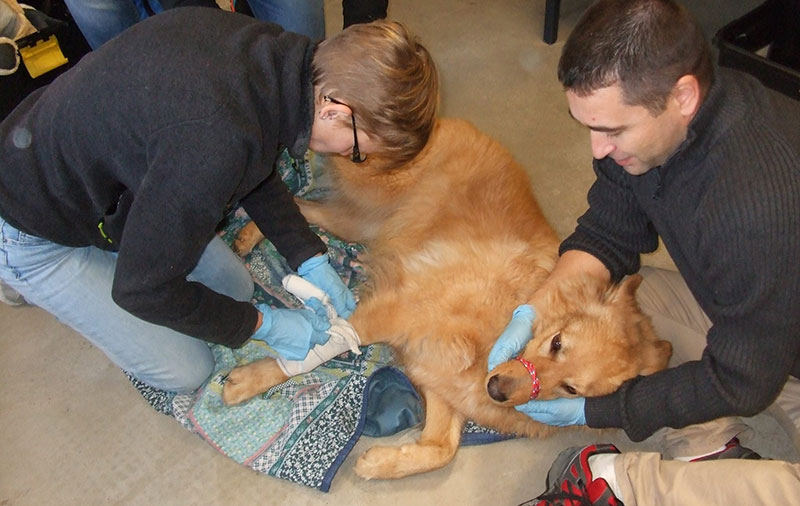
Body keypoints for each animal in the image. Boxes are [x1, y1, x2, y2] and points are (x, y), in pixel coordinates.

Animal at [222, 116, 672, 480]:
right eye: (557, 342)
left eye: (572, 390)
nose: (497, 390)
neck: (501, 320)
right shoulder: (398, 309)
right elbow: (322, 348)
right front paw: (252, 379)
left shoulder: (439, 380)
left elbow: (442, 449)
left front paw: (382, 463)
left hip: (360, 224)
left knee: (301, 210)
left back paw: (248, 236)